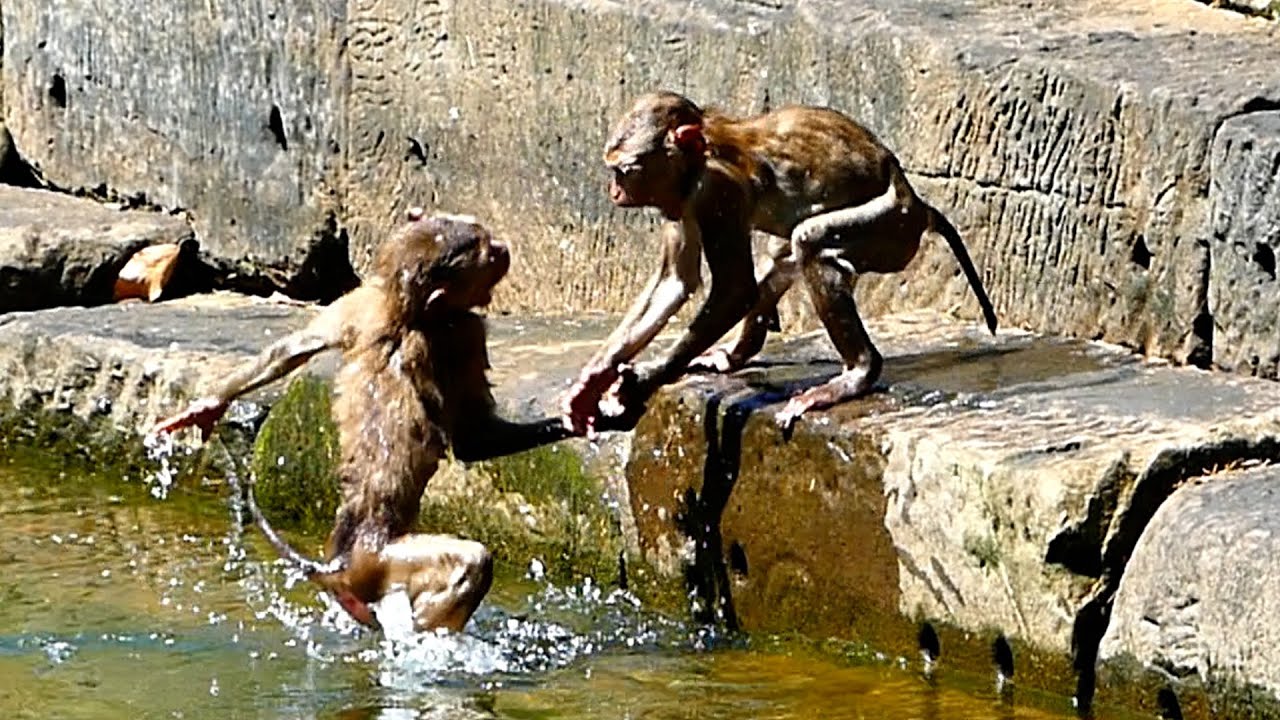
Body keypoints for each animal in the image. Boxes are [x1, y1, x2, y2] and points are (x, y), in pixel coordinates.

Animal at [153, 209, 578, 633]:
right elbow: (473, 440)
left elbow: (292, 348)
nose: (503, 248)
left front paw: (206, 407)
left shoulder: (362, 303)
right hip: (379, 563)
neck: (405, 314)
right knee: (471, 563)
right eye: (485, 251)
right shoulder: (465, 333)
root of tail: (340, 562)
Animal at [562, 91, 997, 433]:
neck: (703, 152)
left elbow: (734, 289)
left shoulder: (716, 192)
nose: (614, 190)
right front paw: (592, 382)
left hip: (891, 226)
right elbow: (675, 282)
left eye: (625, 170)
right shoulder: (679, 201)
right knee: (784, 252)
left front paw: (643, 380)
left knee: (811, 240)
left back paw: (857, 374)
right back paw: (737, 354)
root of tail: (916, 201)